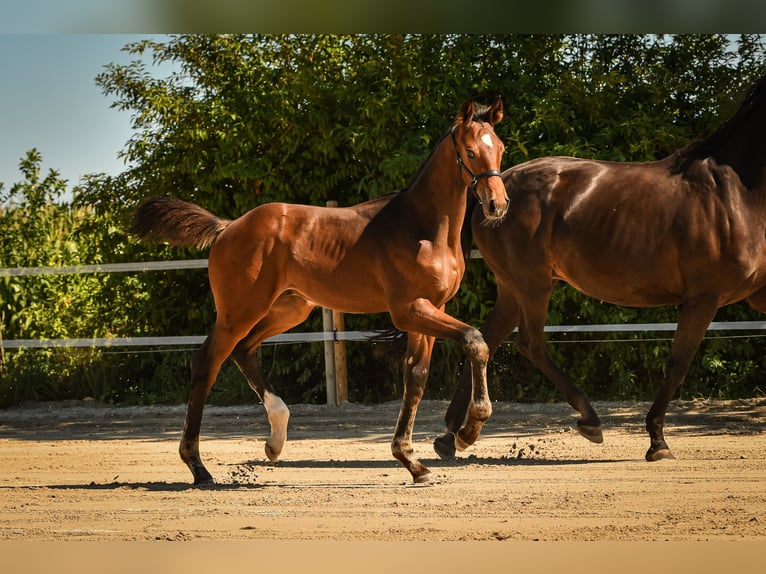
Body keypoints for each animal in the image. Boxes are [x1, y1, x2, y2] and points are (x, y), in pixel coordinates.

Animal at [131, 97, 508, 485]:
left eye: (500, 149)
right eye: (470, 151)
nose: (497, 205)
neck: (424, 229)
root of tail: (228, 227)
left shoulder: (432, 308)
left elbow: (416, 379)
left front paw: (413, 462)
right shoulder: (409, 310)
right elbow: (475, 341)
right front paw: (468, 431)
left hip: (288, 309)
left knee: (243, 350)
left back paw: (275, 441)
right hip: (239, 311)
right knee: (207, 361)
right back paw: (198, 466)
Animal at [435, 74, 766, 463]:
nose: (496, 203)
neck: (735, 193)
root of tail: (490, 197)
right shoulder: (703, 299)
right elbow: (677, 365)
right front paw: (657, 441)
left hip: (513, 288)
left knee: (485, 338)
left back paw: (452, 436)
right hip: (532, 284)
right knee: (531, 344)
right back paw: (589, 420)